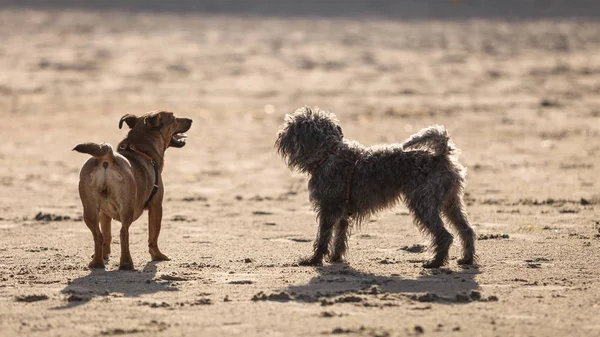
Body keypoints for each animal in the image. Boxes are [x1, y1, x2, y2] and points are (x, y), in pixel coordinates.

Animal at [73, 111, 192, 270]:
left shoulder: (104, 213)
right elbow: (153, 235)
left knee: (98, 235)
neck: (141, 150)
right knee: (124, 232)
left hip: (89, 209)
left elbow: (106, 235)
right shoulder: (156, 206)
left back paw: (97, 263)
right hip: (127, 207)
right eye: (174, 118)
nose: (190, 120)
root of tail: (108, 157)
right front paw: (157, 255)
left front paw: (105, 254)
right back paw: (126, 263)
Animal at [274, 106, 476, 266]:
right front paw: (335, 259)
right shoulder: (341, 212)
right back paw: (466, 259)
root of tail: (440, 156)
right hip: (450, 203)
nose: (280, 135)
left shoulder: (328, 209)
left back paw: (435, 262)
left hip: (423, 205)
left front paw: (314, 260)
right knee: (466, 229)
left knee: (444, 235)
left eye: (292, 128)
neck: (329, 153)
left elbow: (323, 238)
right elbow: (339, 237)